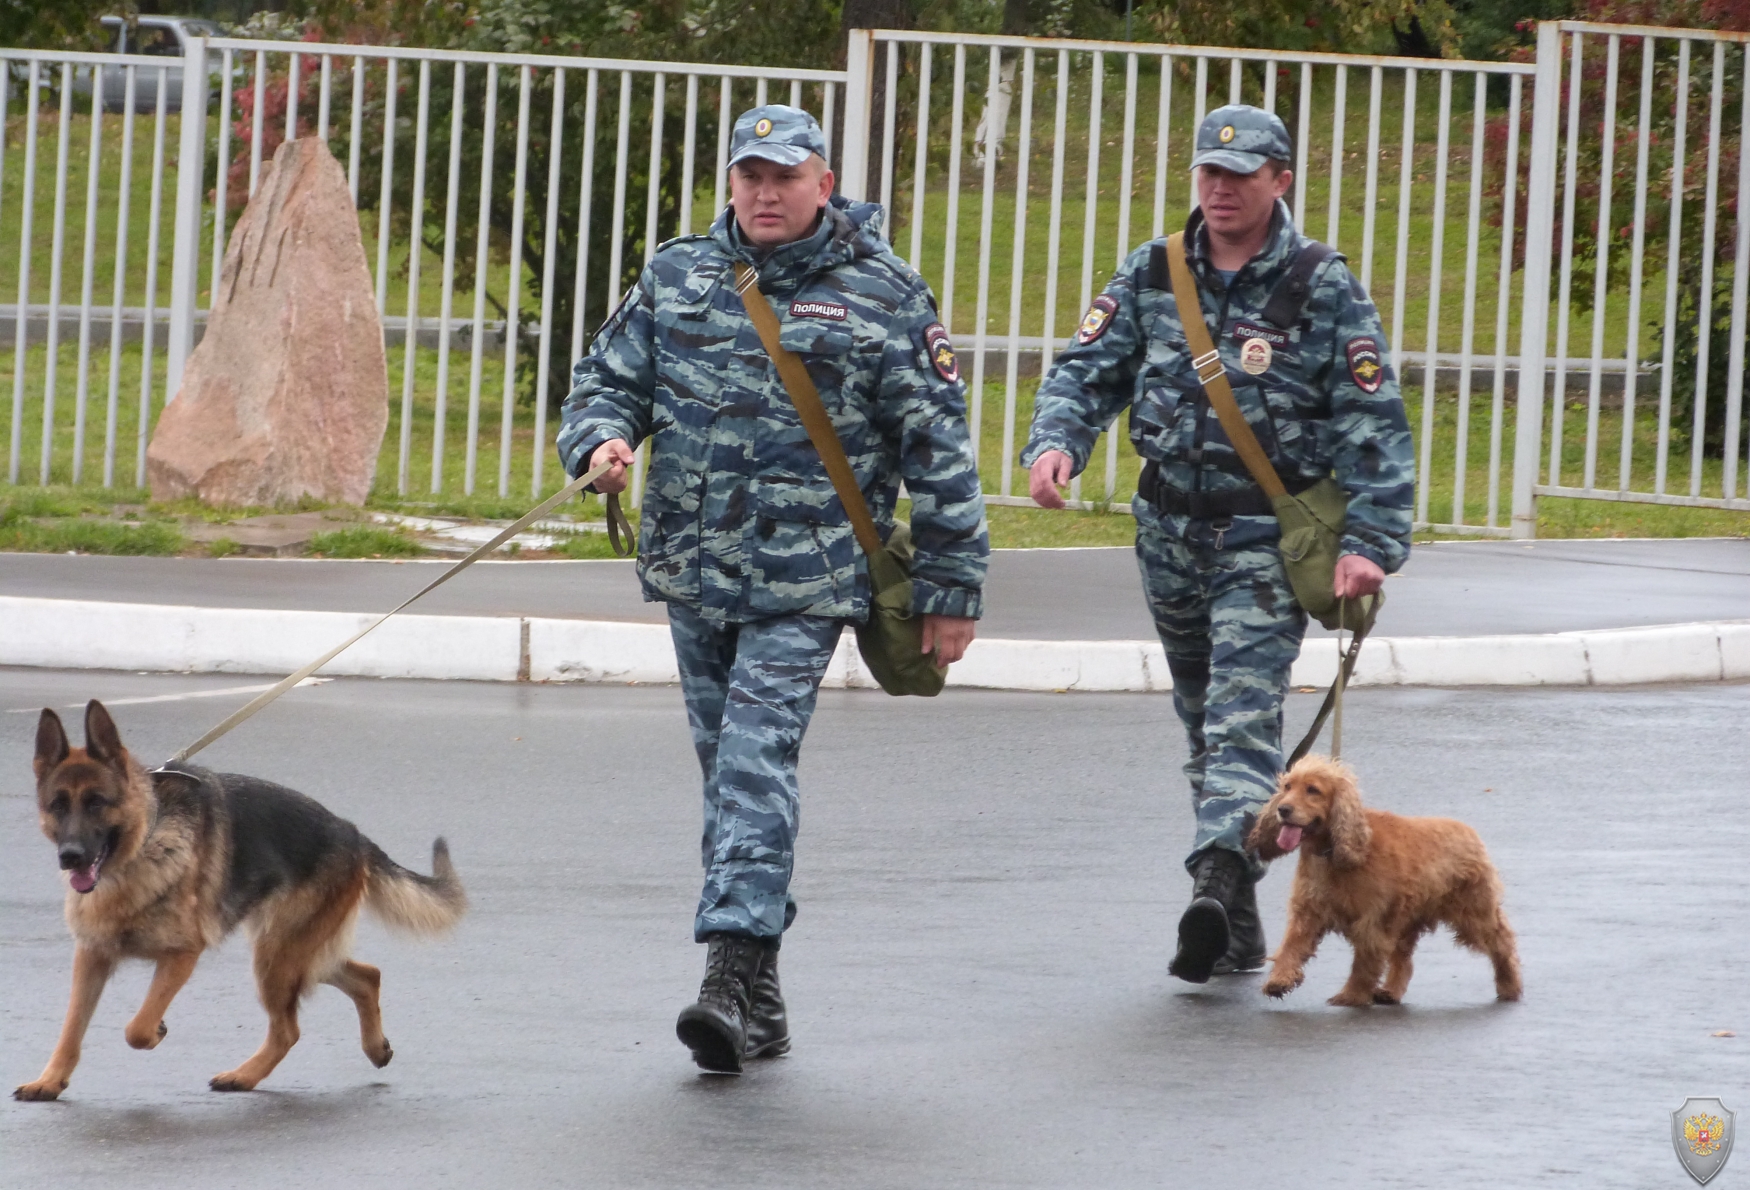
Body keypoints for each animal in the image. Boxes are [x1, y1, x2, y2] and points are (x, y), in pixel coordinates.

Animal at [15, 703, 465, 1099]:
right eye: (58, 805)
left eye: (96, 802)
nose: (70, 857)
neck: (144, 845)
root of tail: (353, 834)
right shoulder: (91, 957)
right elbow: (71, 1027)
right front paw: (50, 1081)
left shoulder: (182, 955)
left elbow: (137, 1029)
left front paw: (155, 1029)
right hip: (294, 953)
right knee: (367, 977)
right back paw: (373, 1047)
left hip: (277, 956)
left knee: (289, 1029)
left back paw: (243, 1077)